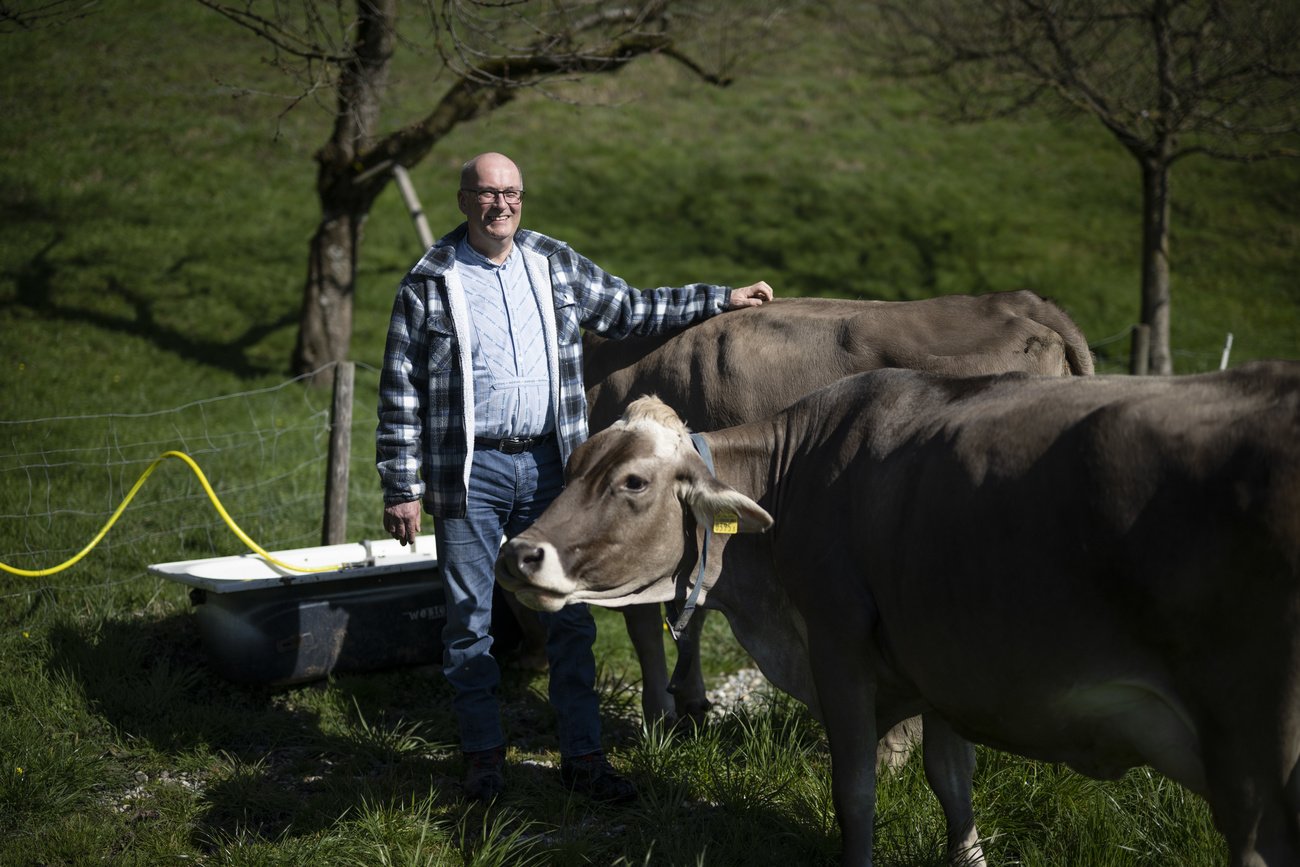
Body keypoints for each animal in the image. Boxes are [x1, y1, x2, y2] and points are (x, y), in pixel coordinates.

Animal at [493, 363, 1300, 867]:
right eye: (573, 467)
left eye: (633, 482)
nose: (519, 552)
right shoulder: (941, 661)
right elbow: (955, 785)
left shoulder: (839, 648)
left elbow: (855, 793)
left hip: (1255, 765)